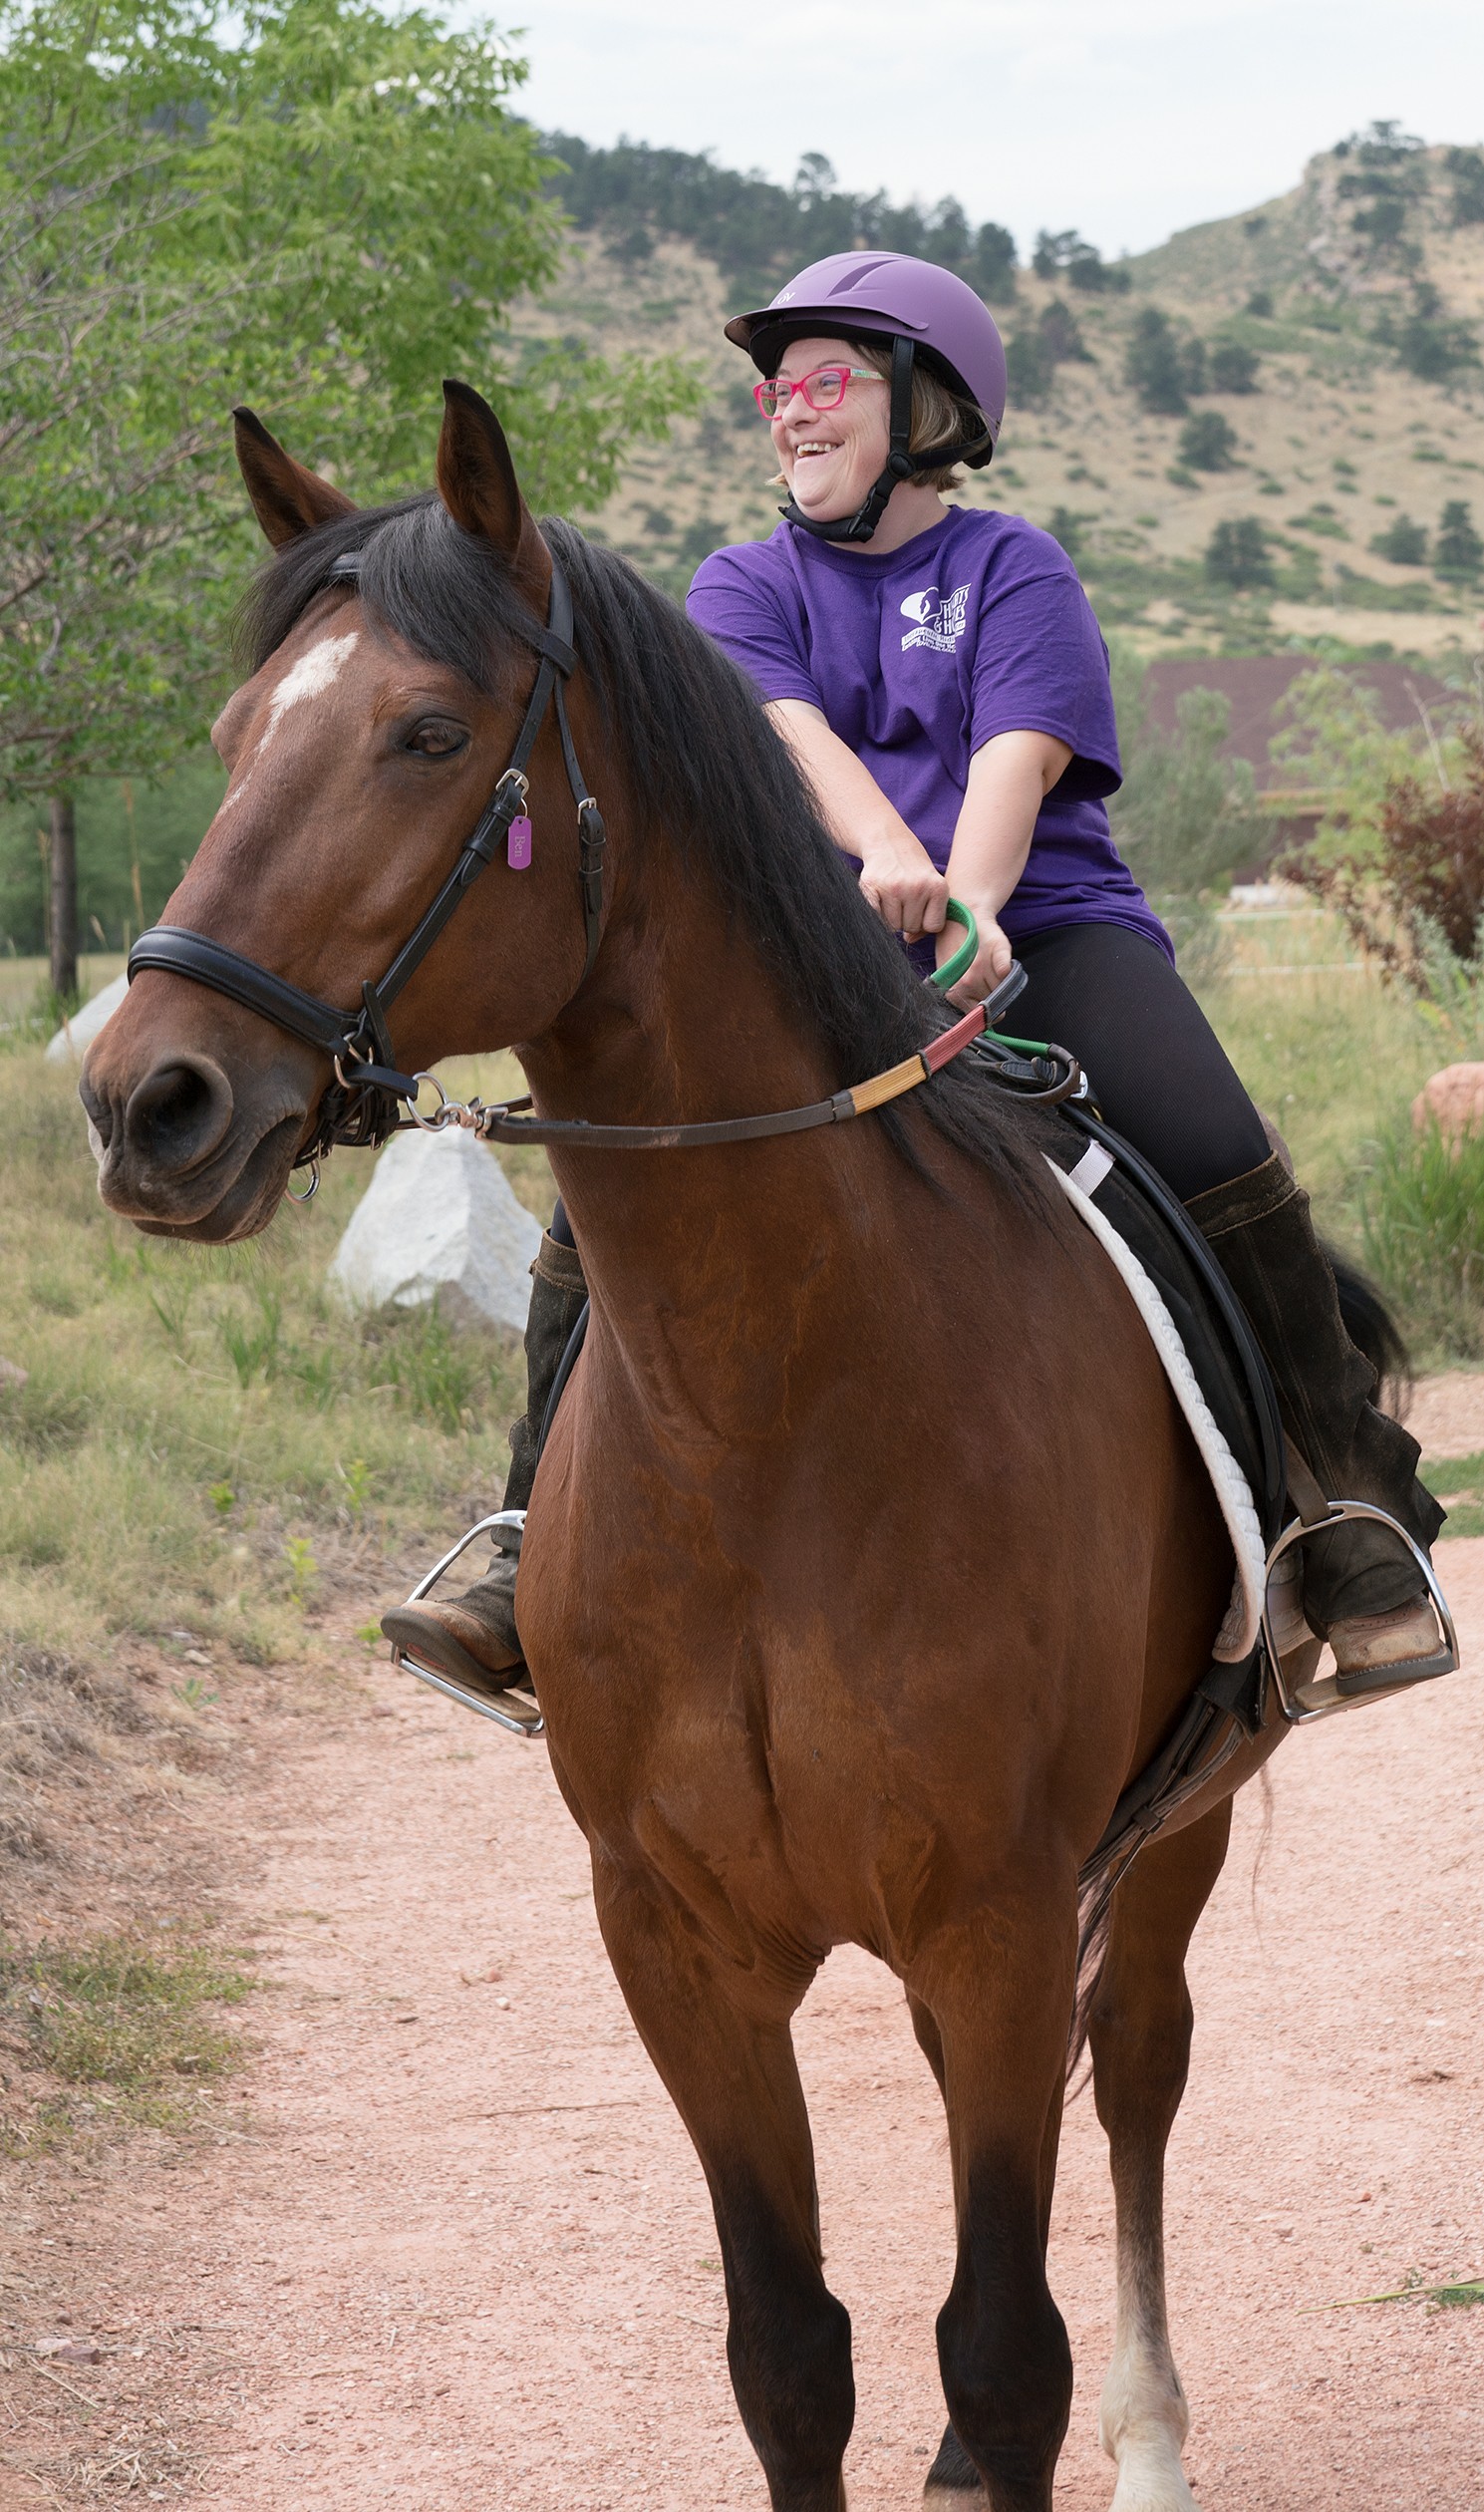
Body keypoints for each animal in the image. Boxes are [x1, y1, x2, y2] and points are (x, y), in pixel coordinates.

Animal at [82, 380, 1311, 2512]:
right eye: (238, 741)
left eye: (426, 733)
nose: (147, 1100)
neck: (777, 1418)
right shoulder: (674, 1942)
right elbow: (788, 2359)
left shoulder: (996, 1911)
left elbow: (1001, 2351)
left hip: (1172, 1824)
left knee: (1139, 2068)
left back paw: (1152, 2444)